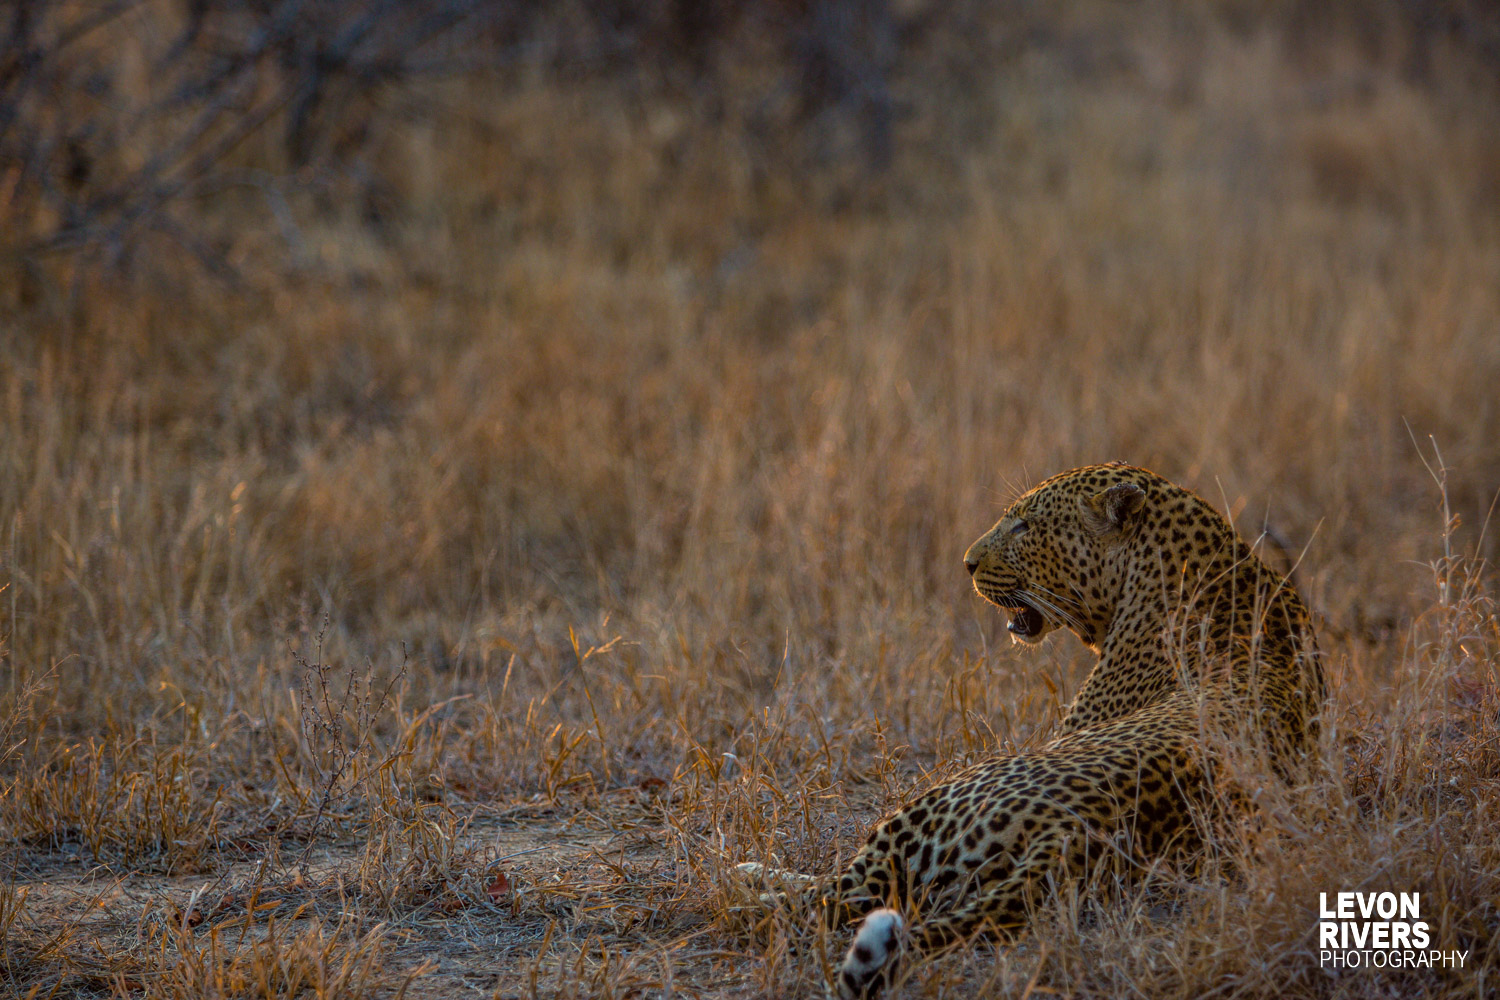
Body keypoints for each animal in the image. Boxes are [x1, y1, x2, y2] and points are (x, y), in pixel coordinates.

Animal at [735, 463, 1324, 998]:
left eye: (1024, 527)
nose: (967, 563)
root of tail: (1074, 833)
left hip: (923, 810)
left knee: (831, 895)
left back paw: (748, 880)